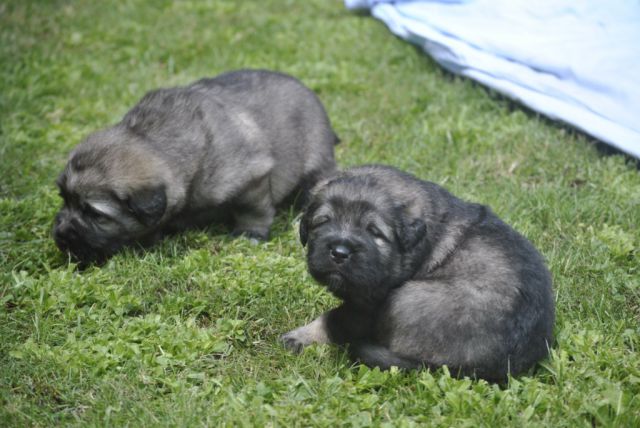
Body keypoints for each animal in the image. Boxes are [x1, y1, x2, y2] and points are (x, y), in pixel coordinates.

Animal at [53, 70, 340, 264]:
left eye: (94, 213)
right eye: (64, 199)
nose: (61, 236)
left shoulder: (252, 176)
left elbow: (252, 209)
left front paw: (250, 233)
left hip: (317, 164)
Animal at [282, 164, 556, 382]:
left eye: (374, 232)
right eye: (323, 222)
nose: (339, 252)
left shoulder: (369, 305)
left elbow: (334, 319)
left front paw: (299, 337)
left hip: (405, 299)